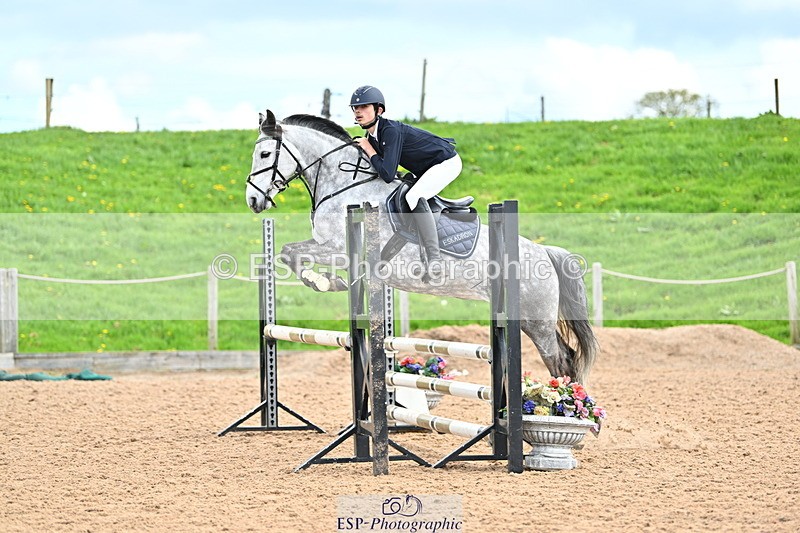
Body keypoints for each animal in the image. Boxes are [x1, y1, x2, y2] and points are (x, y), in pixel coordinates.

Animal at [245, 110, 598, 384]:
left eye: (264, 155)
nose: (252, 201)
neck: (344, 185)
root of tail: (544, 253)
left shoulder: (339, 249)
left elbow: (292, 254)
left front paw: (325, 281)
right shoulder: (326, 245)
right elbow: (288, 252)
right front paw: (327, 281)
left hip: (535, 318)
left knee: (560, 360)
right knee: (565, 357)